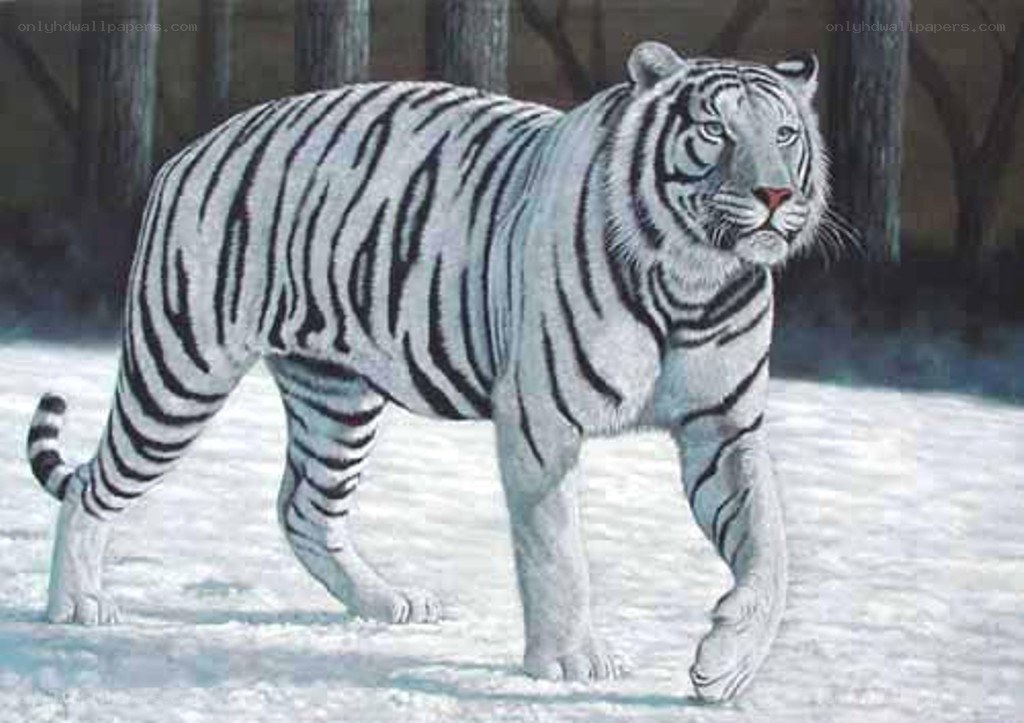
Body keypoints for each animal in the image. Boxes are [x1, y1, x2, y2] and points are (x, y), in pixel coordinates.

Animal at [25, 42, 828, 701]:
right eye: (715, 130)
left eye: (785, 135)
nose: (775, 195)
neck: (693, 277)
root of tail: (190, 149)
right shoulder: (542, 423)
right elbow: (557, 549)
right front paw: (571, 661)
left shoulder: (724, 426)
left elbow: (770, 544)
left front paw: (727, 666)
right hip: (181, 369)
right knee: (96, 485)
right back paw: (76, 606)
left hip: (335, 397)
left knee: (304, 507)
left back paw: (386, 604)